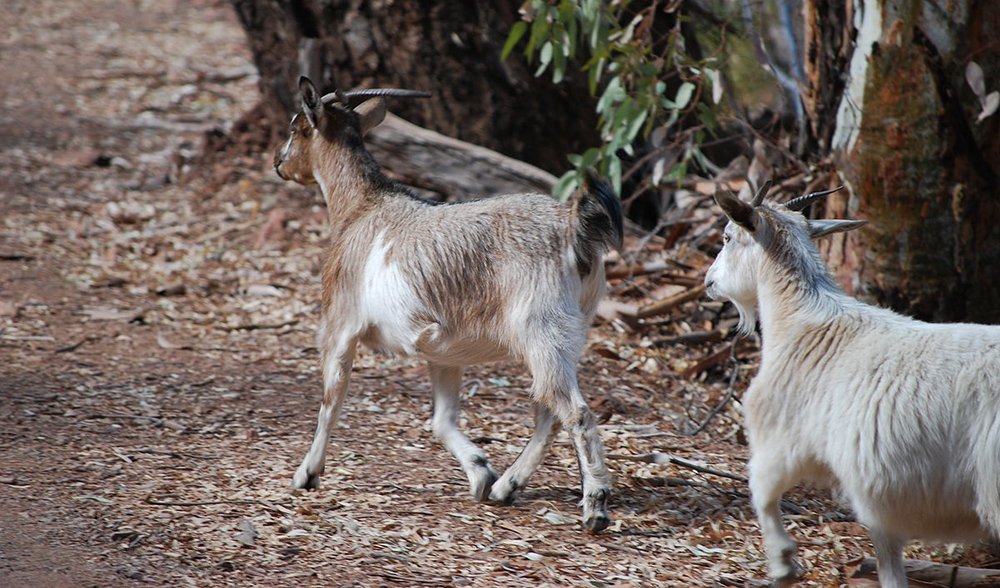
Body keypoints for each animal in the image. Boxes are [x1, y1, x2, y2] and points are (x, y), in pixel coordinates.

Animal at [270, 76, 620, 532]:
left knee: (573, 411)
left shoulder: (340, 325)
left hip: (542, 326)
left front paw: (307, 473)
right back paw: (507, 486)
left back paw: (594, 505)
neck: (361, 210)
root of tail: (573, 227)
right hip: (570, 329)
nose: (278, 163)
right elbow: (441, 420)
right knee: (549, 411)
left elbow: (331, 400)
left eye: (296, 127)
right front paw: (480, 472)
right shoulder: (443, 351)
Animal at [704, 183, 1000, 584]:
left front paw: (783, 563)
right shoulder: (880, 499)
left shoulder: (784, 438)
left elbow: (761, 490)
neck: (803, 323)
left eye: (727, 237)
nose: (709, 281)